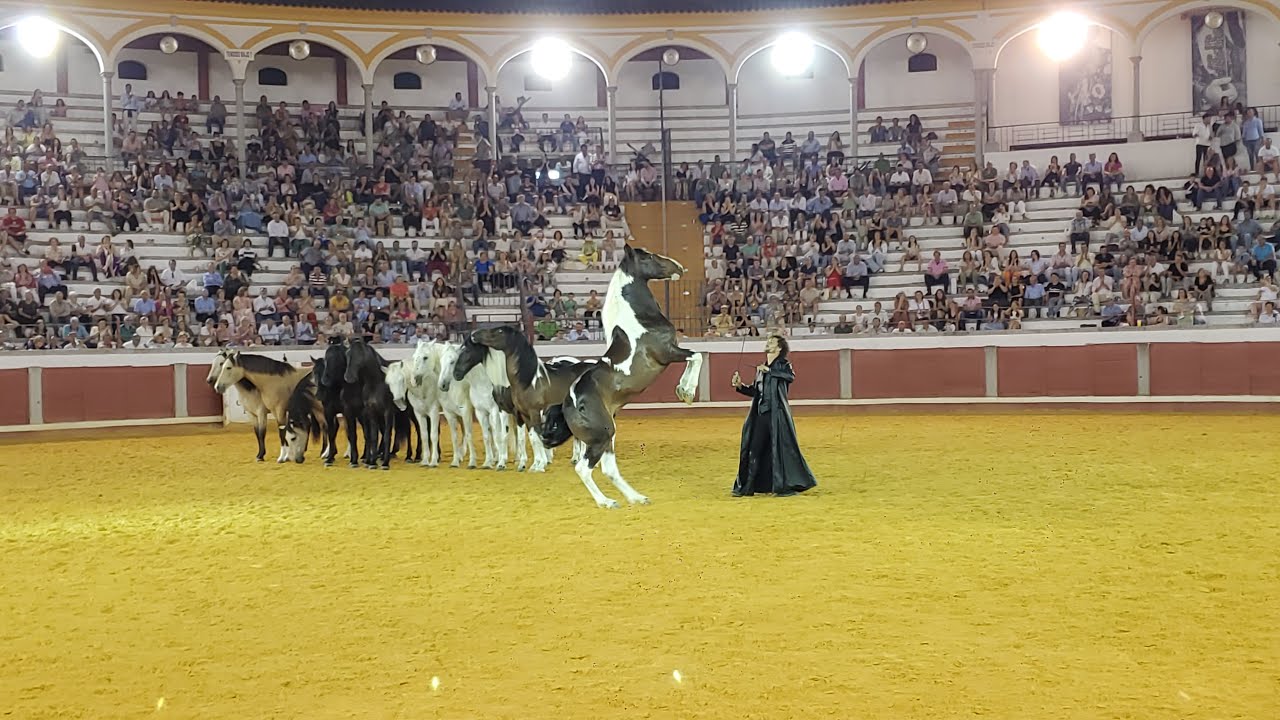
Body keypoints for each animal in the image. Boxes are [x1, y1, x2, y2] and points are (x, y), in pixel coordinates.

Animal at [344, 337, 398, 470]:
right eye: (347, 354)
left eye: (360, 355)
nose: (349, 377)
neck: (376, 383)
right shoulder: (372, 412)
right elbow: (374, 436)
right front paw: (372, 463)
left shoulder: (388, 412)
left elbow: (387, 436)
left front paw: (385, 463)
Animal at [463, 325, 595, 473]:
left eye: (499, 331)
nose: (474, 334)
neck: (529, 381)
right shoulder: (523, 414)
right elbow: (533, 438)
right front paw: (535, 465)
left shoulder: (534, 412)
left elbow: (536, 437)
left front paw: (539, 465)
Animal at [540, 244, 702, 508]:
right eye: (648, 256)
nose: (679, 267)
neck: (637, 322)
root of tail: (567, 403)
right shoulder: (668, 353)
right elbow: (697, 356)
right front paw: (686, 392)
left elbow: (695, 357)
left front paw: (682, 391)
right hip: (602, 435)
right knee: (584, 468)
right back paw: (606, 502)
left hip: (608, 436)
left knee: (609, 470)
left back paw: (637, 497)